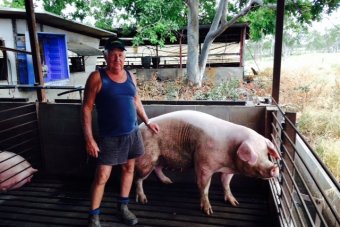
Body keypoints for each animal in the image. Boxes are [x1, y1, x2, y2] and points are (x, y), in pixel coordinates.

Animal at [134, 110, 280, 215]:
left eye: (266, 153)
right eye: (254, 155)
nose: (274, 167)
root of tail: (139, 128)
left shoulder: (229, 170)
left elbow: (226, 183)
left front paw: (235, 203)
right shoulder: (203, 164)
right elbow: (204, 186)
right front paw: (208, 211)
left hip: (161, 157)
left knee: (157, 168)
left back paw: (168, 182)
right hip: (148, 157)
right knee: (139, 178)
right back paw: (143, 200)